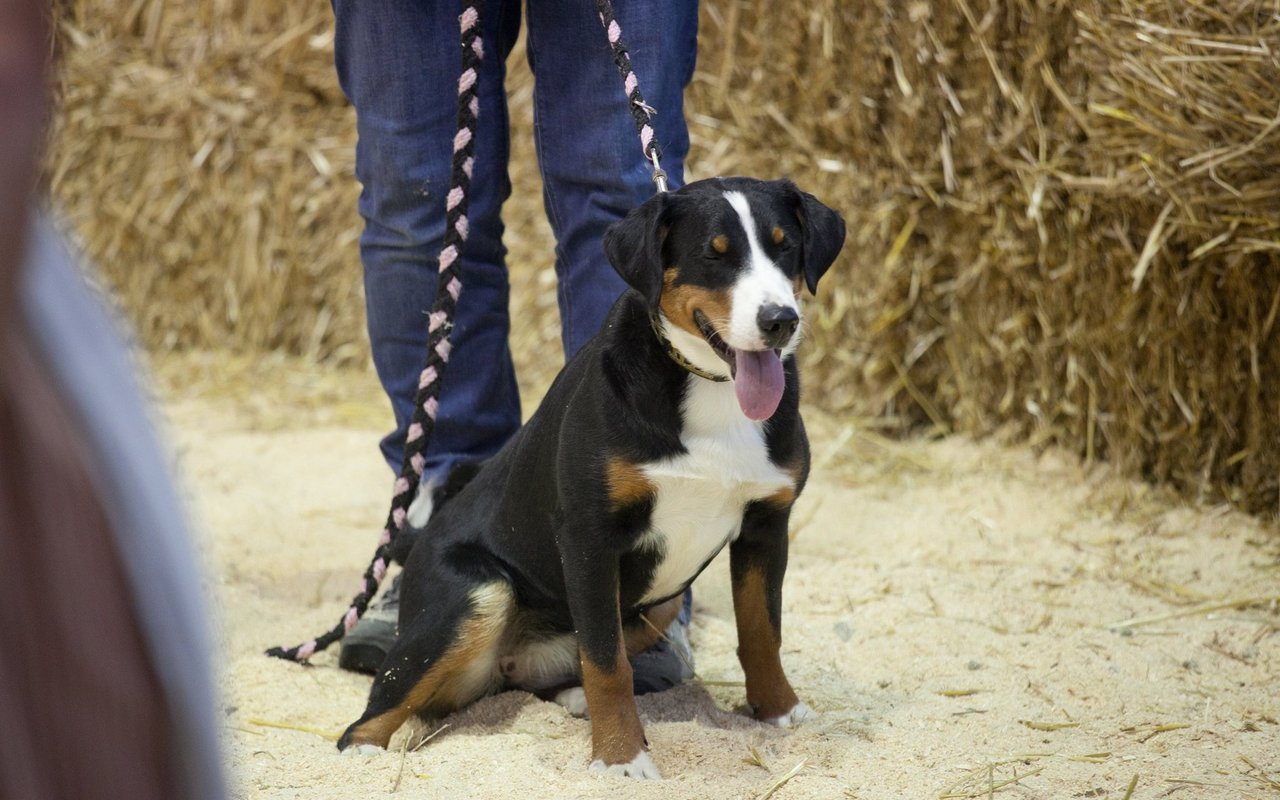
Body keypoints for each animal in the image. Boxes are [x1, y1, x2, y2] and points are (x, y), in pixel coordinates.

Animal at [335, 172, 844, 773]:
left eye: (784, 246)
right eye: (712, 255)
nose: (780, 321)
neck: (710, 392)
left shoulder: (766, 523)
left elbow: (762, 631)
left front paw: (779, 709)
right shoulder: (589, 536)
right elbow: (607, 662)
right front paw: (622, 756)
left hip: (659, 601)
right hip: (479, 595)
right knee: (369, 717)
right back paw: (362, 759)